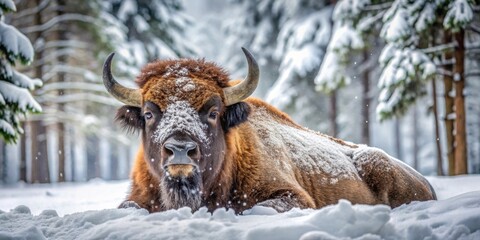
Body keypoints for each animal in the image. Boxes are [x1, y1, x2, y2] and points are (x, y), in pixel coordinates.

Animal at [103, 47, 436, 213]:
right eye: (148, 114)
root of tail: (426, 183)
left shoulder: (293, 197)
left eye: (213, 112)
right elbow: (128, 207)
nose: (180, 150)